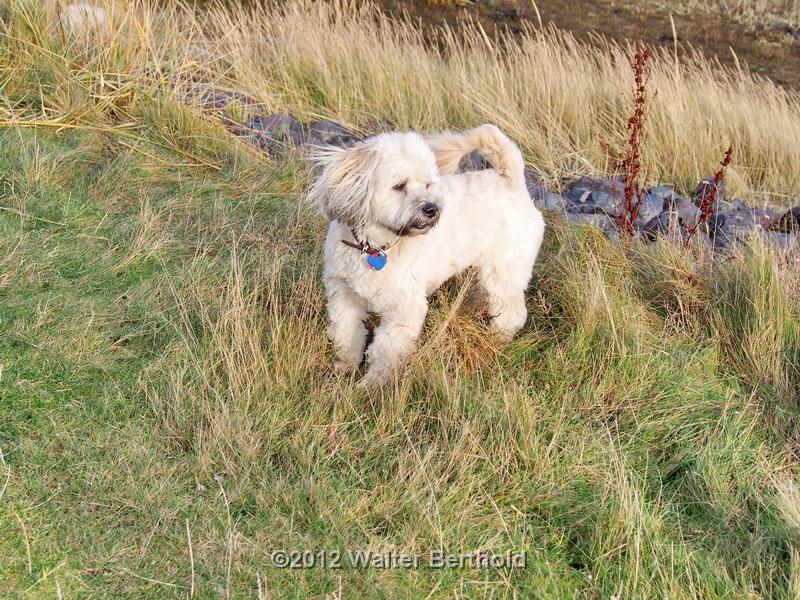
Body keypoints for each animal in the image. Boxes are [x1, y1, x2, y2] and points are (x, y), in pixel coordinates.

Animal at [310, 124, 548, 386]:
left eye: (427, 185)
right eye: (400, 186)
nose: (431, 209)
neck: (376, 247)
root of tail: (511, 180)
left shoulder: (404, 310)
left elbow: (385, 349)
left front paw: (372, 385)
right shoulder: (343, 294)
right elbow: (346, 334)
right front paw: (344, 369)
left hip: (505, 270)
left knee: (511, 314)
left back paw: (496, 340)